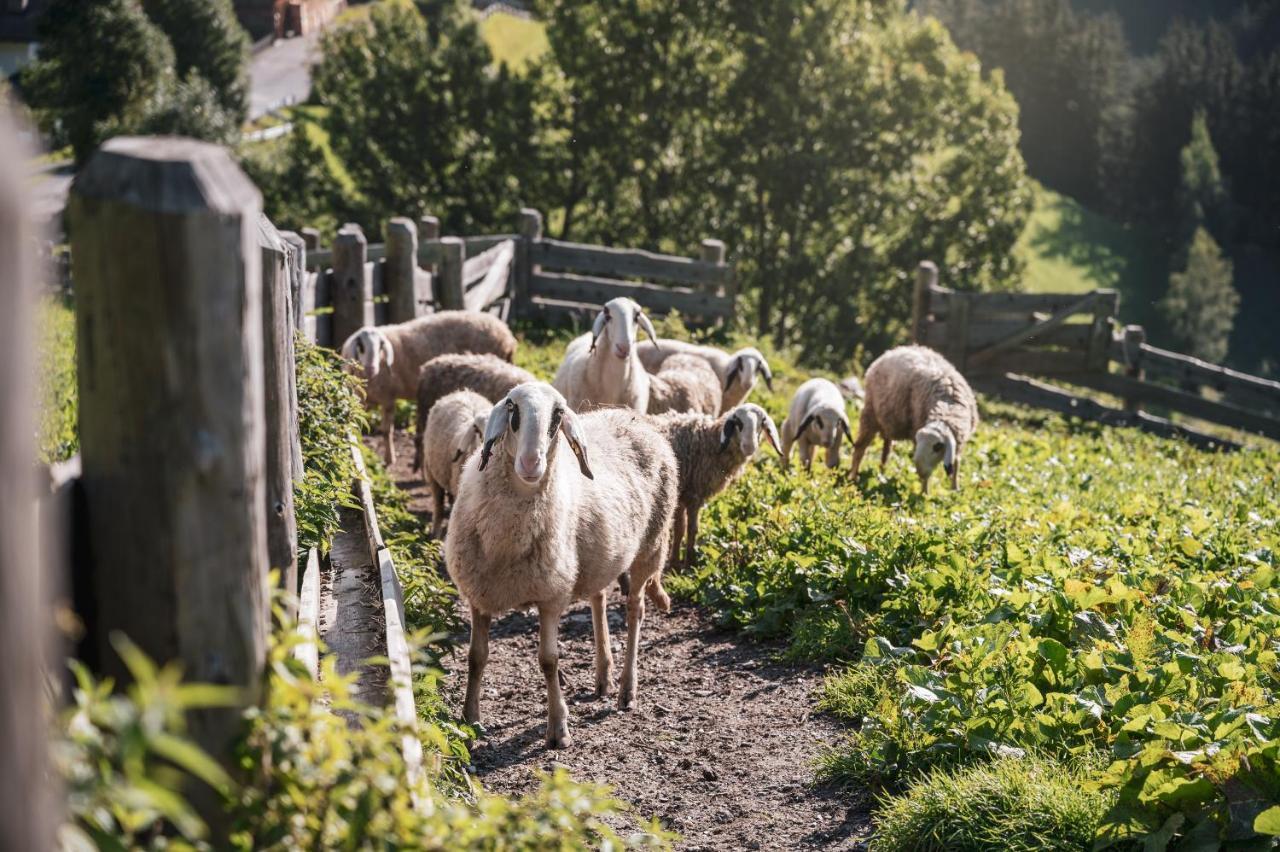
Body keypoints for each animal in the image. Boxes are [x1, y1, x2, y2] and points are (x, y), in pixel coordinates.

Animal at [345, 308, 519, 460]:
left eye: (380, 346)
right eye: (360, 346)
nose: (371, 369)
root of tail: (507, 333)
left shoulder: (388, 397)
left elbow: (386, 431)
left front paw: (389, 459)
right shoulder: (362, 399)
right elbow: (358, 425)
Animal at [445, 381, 680, 747]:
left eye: (558, 415)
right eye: (512, 408)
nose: (531, 462)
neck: (507, 544)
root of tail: (634, 418)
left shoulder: (551, 596)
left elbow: (548, 660)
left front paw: (558, 728)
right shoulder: (479, 595)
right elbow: (476, 658)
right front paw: (470, 722)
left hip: (650, 545)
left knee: (634, 610)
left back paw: (626, 689)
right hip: (597, 555)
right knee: (598, 598)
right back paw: (603, 676)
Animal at [849, 342, 977, 493]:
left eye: (937, 447)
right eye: (918, 442)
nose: (920, 472)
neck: (948, 405)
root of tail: (893, 351)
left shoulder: (959, 441)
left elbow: (956, 462)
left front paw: (955, 488)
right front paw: (924, 493)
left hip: (888, 418)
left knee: (886, 450)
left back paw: (882, 474)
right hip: (870, 414)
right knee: (860, 448)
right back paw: (853, 477)